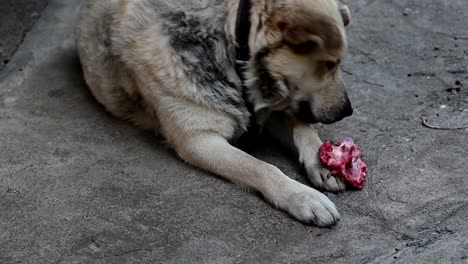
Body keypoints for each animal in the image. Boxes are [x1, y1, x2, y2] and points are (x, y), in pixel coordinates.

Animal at [77, 0, 352, 227]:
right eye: (331, 64)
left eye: (338, 63)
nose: (347, 111)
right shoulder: (198, 141)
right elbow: (261, 166)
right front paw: (301, 196)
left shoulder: (272, 104)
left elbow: (303, 128)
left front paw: (322, 162)